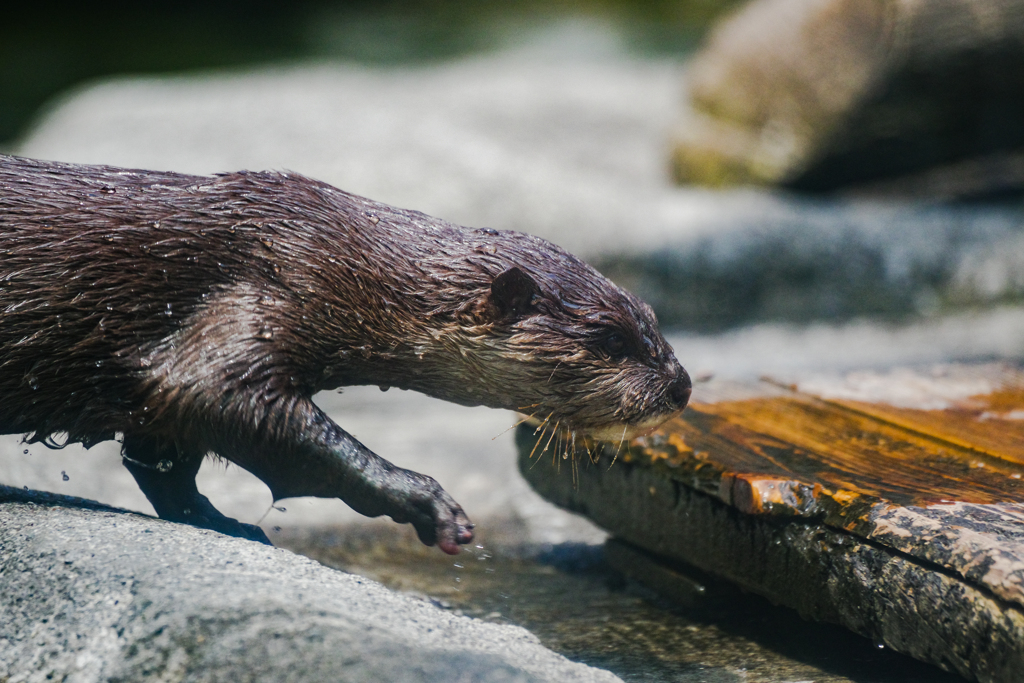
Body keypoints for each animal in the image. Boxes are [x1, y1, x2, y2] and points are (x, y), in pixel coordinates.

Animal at [0, 153, 692, 548]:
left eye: (654, 321)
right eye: (611, 338)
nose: (681, 386)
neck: (337, 260)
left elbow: (162, 454)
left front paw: (224, 522)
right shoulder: (267, 288)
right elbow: (209, 392)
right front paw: (426, 502)